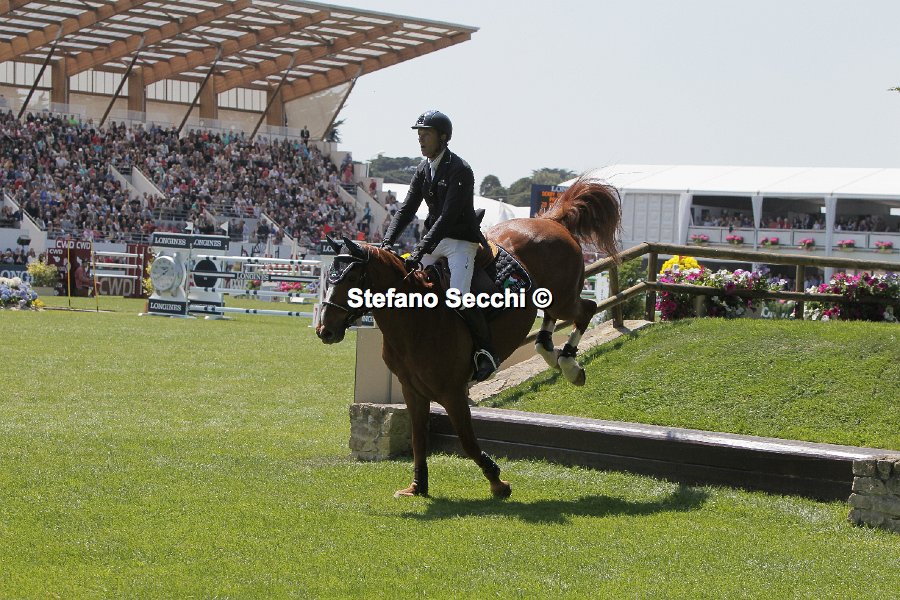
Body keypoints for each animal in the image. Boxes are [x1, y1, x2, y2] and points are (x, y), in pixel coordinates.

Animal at [316, 175, 621, 498]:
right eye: (330, 276)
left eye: (350, 278)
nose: (325, 331)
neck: (414, 320)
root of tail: (551, 221)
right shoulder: (412, 390)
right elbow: (419, 438)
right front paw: (417, 486)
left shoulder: (453, 392)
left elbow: (467, 441)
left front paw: (498, 481)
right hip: (551, 296)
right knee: (552, 322)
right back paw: (550, 352)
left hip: (563, 297)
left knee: (586, 309)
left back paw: (570, 365)